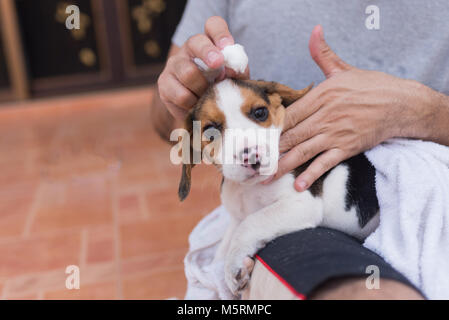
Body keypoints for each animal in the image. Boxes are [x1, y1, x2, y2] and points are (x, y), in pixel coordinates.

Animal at [178, 77, 378, 298]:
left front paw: (234, 266)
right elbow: (225, 246)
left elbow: (251, 223)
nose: (252, 157)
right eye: (210, 131)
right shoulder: (236, 216)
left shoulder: (301, 203)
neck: (248, 188)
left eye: (260, 113)